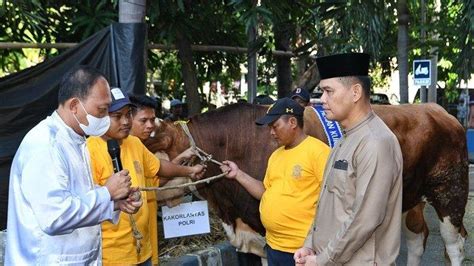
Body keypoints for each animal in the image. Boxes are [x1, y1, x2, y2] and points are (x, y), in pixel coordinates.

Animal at [146, 103, 468, 264]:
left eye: (155, 151)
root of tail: (437, 110)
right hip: (408, 196)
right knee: (416, 237)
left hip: (450, 190)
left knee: (455, 242)